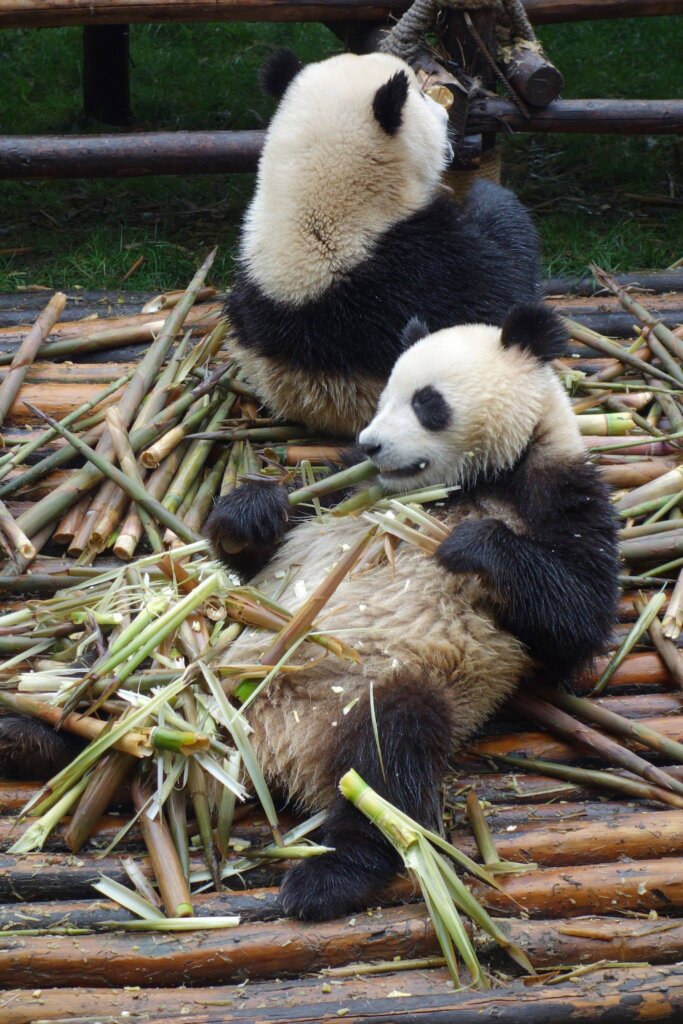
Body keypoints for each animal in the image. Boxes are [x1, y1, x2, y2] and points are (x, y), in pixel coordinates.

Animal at [205, 301, 618, 921]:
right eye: (381, 400)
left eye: (428, 403)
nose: (374, 444)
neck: (471, 483)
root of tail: (274, 751)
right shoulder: (348, 487)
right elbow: (274, 546)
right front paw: (251, 510)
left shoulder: (561, 489)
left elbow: (578, 619)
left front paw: (473, 546)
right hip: (208, 689)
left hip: (378, 693)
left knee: (388, 762)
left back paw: (328, 878)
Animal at [227, 46, 540, 438]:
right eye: (421, 96)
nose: (444, 115)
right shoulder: (424, 270)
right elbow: (506, 290)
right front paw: (485, 195)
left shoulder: (246, 275)